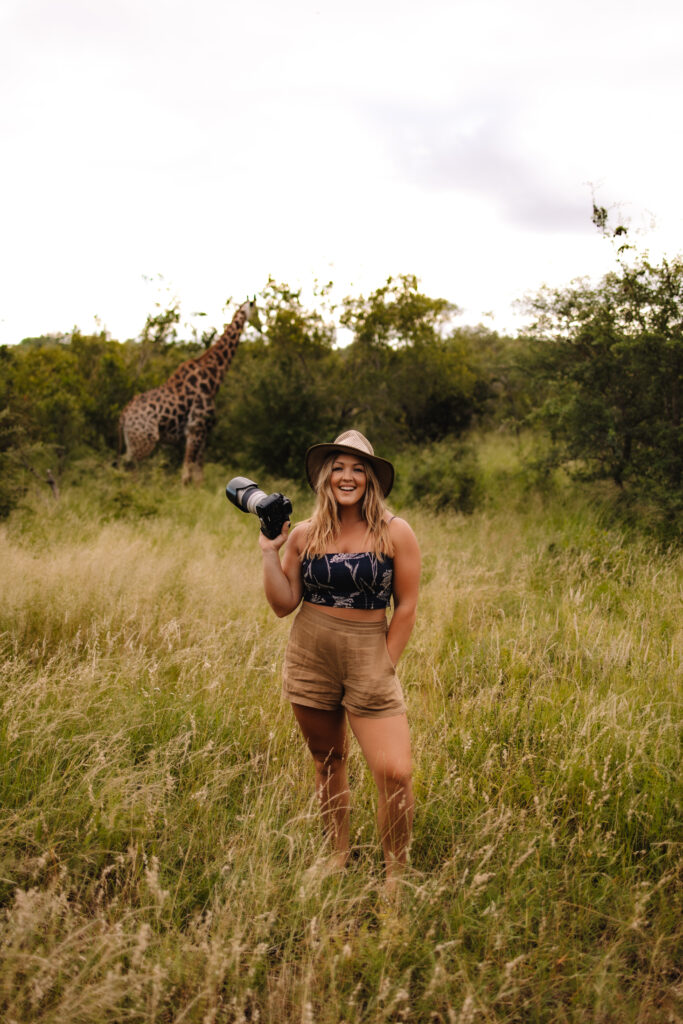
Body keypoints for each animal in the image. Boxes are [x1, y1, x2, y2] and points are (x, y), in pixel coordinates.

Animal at [117, 299, 255, 485]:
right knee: (129, 468)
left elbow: (198, 474)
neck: (213, 378)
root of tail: (123, 415)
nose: (258, 324)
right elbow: (187, 473)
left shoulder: (203, 433)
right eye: (254, 309)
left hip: (132, 442)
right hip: (143, 441)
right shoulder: (195, 429)